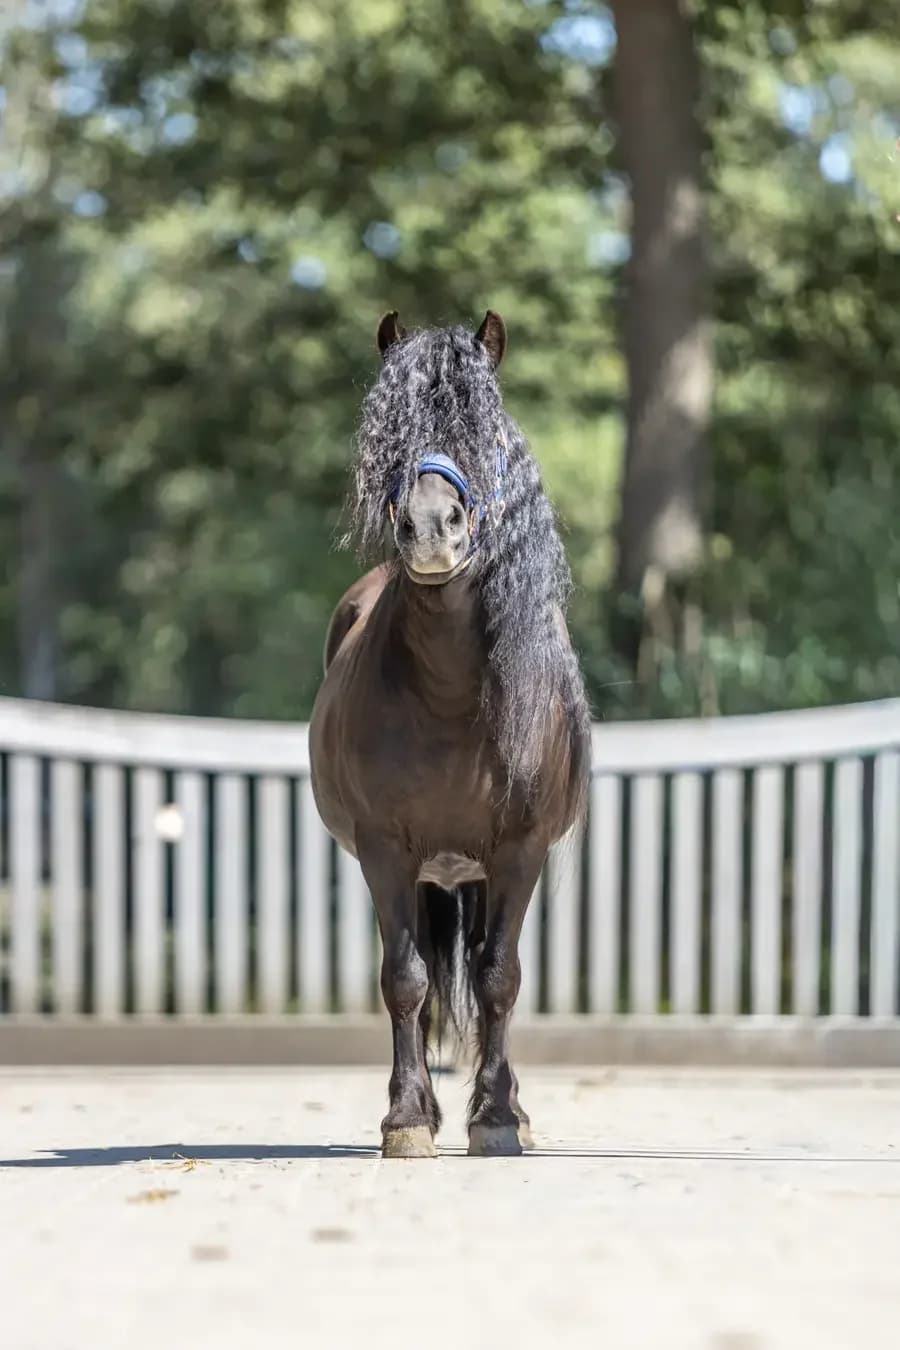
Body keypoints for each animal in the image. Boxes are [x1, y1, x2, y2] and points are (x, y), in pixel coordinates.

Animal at [309, 309, 591, 1158]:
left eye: (485, 431)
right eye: (391, 433)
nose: (432, 528)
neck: (447, 697)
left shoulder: (520, 850)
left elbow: (500, 975)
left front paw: (497, 1118)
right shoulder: (384, 852)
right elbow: (405, 981)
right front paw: (407, 1118)